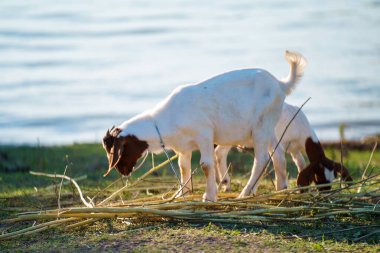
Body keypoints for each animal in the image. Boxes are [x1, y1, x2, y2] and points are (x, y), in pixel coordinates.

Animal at [102, 51, 308, 202]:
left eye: (117, 151)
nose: (122, 171)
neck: (164, 121)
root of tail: (280, 84)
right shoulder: (183, 147)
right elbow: (183, 167)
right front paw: (181, 194)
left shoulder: (205, 135)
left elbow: (206, 165)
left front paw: (209, 197)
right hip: (269, 126)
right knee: (278, 154)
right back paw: (280, 188)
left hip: (260, 127)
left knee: (262, 159)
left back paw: (245, 193)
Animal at [215, 103, 352, 192]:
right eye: (318, 177)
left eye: (333, 177)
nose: (325, 192)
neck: (300, 126)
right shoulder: (279, 143)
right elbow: (279, 164)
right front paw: (281, 188)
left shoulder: (295, 150)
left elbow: (301, 164)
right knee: (220, 152)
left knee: (219, 152)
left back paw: (226, 184)